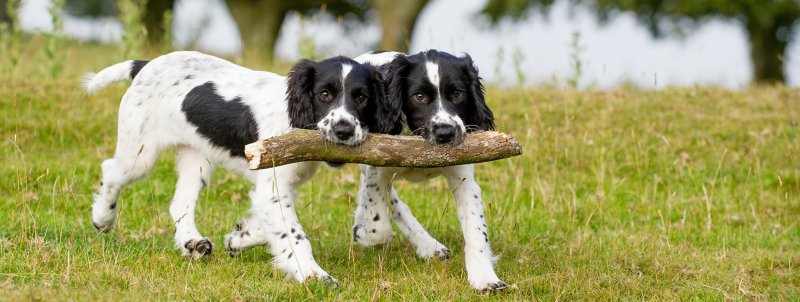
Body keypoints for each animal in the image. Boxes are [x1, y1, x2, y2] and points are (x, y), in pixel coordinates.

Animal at [84, 50, 404, 284]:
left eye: (362, 97)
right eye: (324, 94)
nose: (343, 131)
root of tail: (146, 64)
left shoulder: (279, 186)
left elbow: (272, 224)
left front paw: (240, 237)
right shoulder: (274, 183)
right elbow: (294, 235)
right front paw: (313, 274)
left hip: (197, 159)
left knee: (180, 203)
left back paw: (192, 242)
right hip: (141, 153)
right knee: (111, 171)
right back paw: (103, 218)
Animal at [352, 50, 504, 292]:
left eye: (457, 94)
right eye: (420, 96)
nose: (445, 133)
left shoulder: (464, 179)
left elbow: (476, 231)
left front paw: (484, 277)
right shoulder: (378, 170)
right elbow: (380, 226)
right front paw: (364, 234)